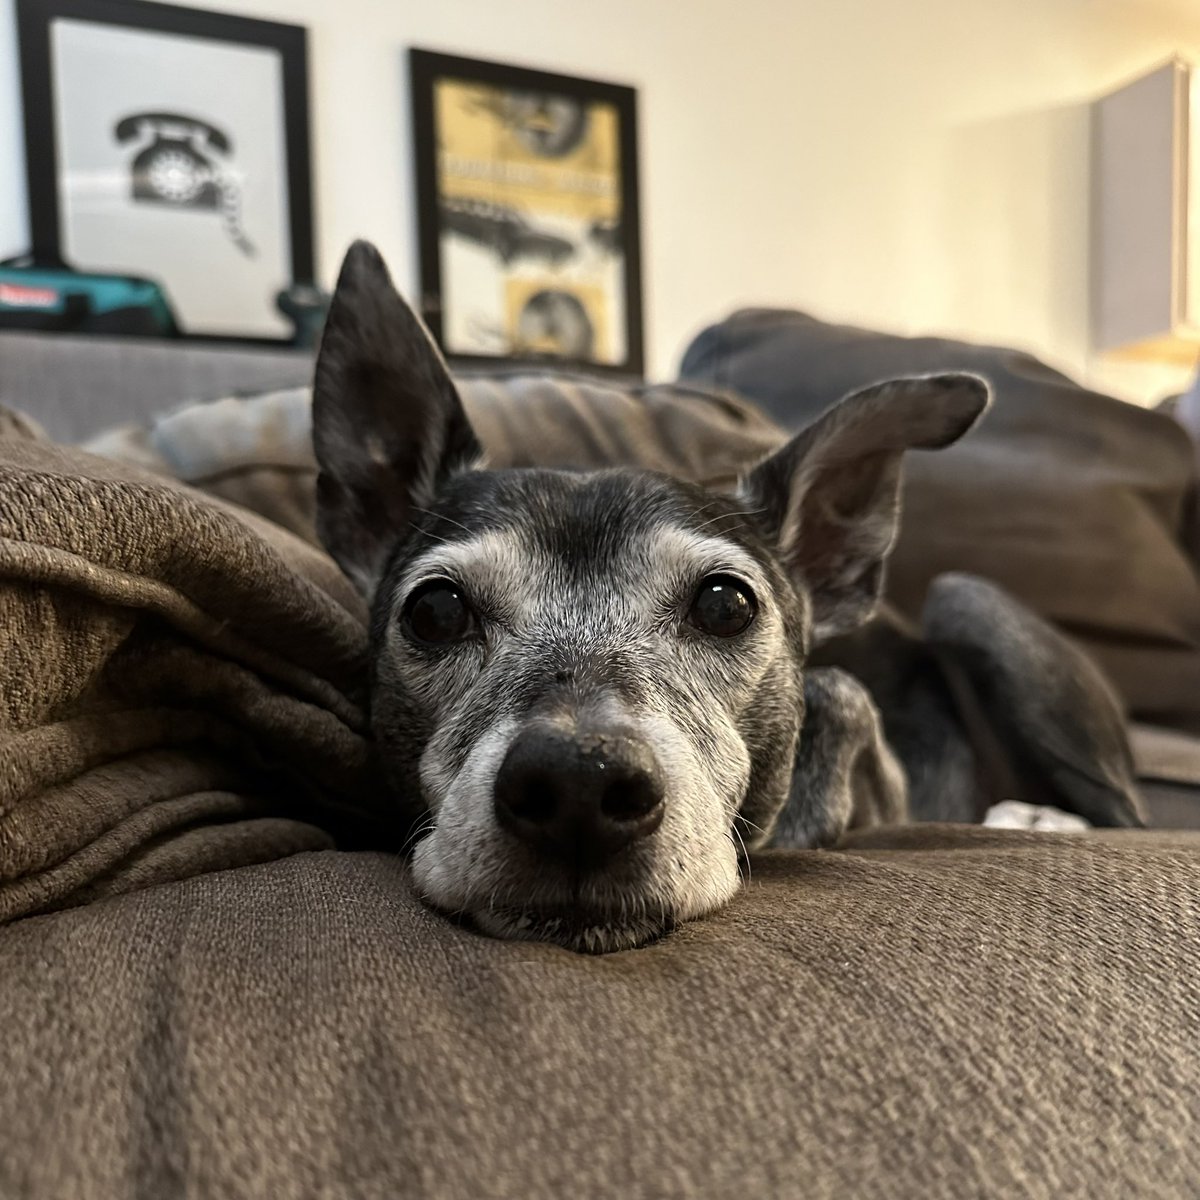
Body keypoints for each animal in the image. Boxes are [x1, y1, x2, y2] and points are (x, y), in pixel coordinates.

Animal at [312, 241, 1142, 955]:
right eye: (435, 612)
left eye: (725, 604)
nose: (580, 783)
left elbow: (839, 693)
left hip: (971, 603)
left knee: (1126, 813)